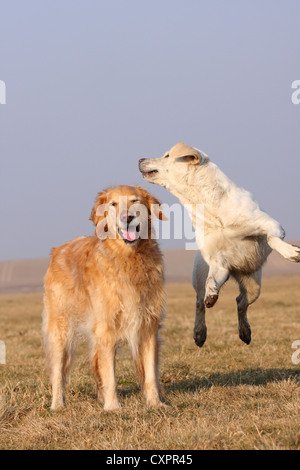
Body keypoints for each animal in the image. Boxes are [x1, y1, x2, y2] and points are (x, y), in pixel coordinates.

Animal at [42, 185, 166, 410]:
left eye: (135, 201)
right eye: (113, 204)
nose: (128, 217)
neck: (128, 258)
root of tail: (56, 251)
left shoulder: (148, 326)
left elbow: (150, 374)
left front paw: (155, 404)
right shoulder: (106, 329)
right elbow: (110, 376)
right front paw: (113, 407)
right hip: (60, 332)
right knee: (57, 373)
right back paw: (57, 405)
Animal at [139, 141, 300, 346]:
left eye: (167, 155)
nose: (140, 159)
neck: (210, 208)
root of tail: (239, 270)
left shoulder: (271, 224)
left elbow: (272, 238)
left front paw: (292, 252)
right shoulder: (218, 264)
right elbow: (210, 282)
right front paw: (212, 295)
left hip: (254, 286)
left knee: (241, 301)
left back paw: (245, 332)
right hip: (200, 277)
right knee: (200, 302)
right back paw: (200, 333)